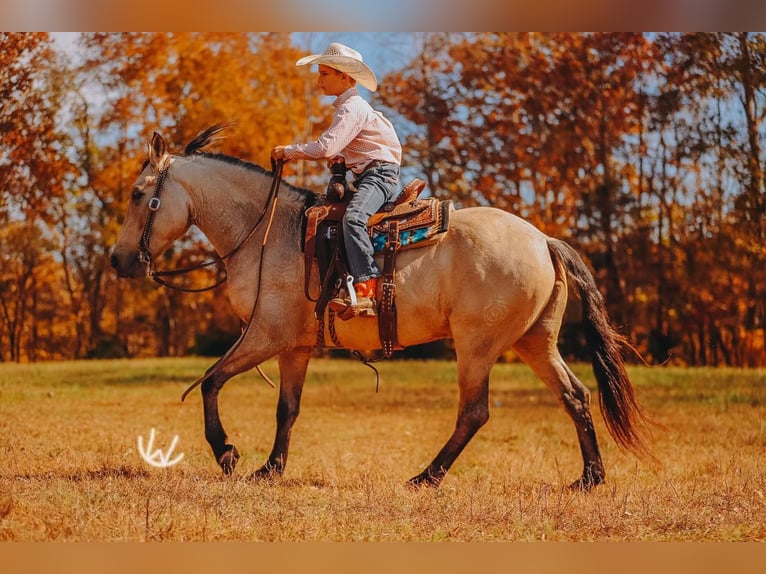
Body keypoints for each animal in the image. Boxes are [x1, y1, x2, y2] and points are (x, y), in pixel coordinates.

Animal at [110, 124, 652, 490]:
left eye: (139, 194)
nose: (118, 260)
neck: (267, 231)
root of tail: (543, 240)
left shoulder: (265, 334)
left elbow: (211, 382)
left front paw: (226, 452)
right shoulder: (294, 347)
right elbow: (287, 408)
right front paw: (270, 468)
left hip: (478, 344)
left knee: (474, 412)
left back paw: (426, 476)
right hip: (535, 341)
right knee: (575, 396)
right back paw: (590, 477)